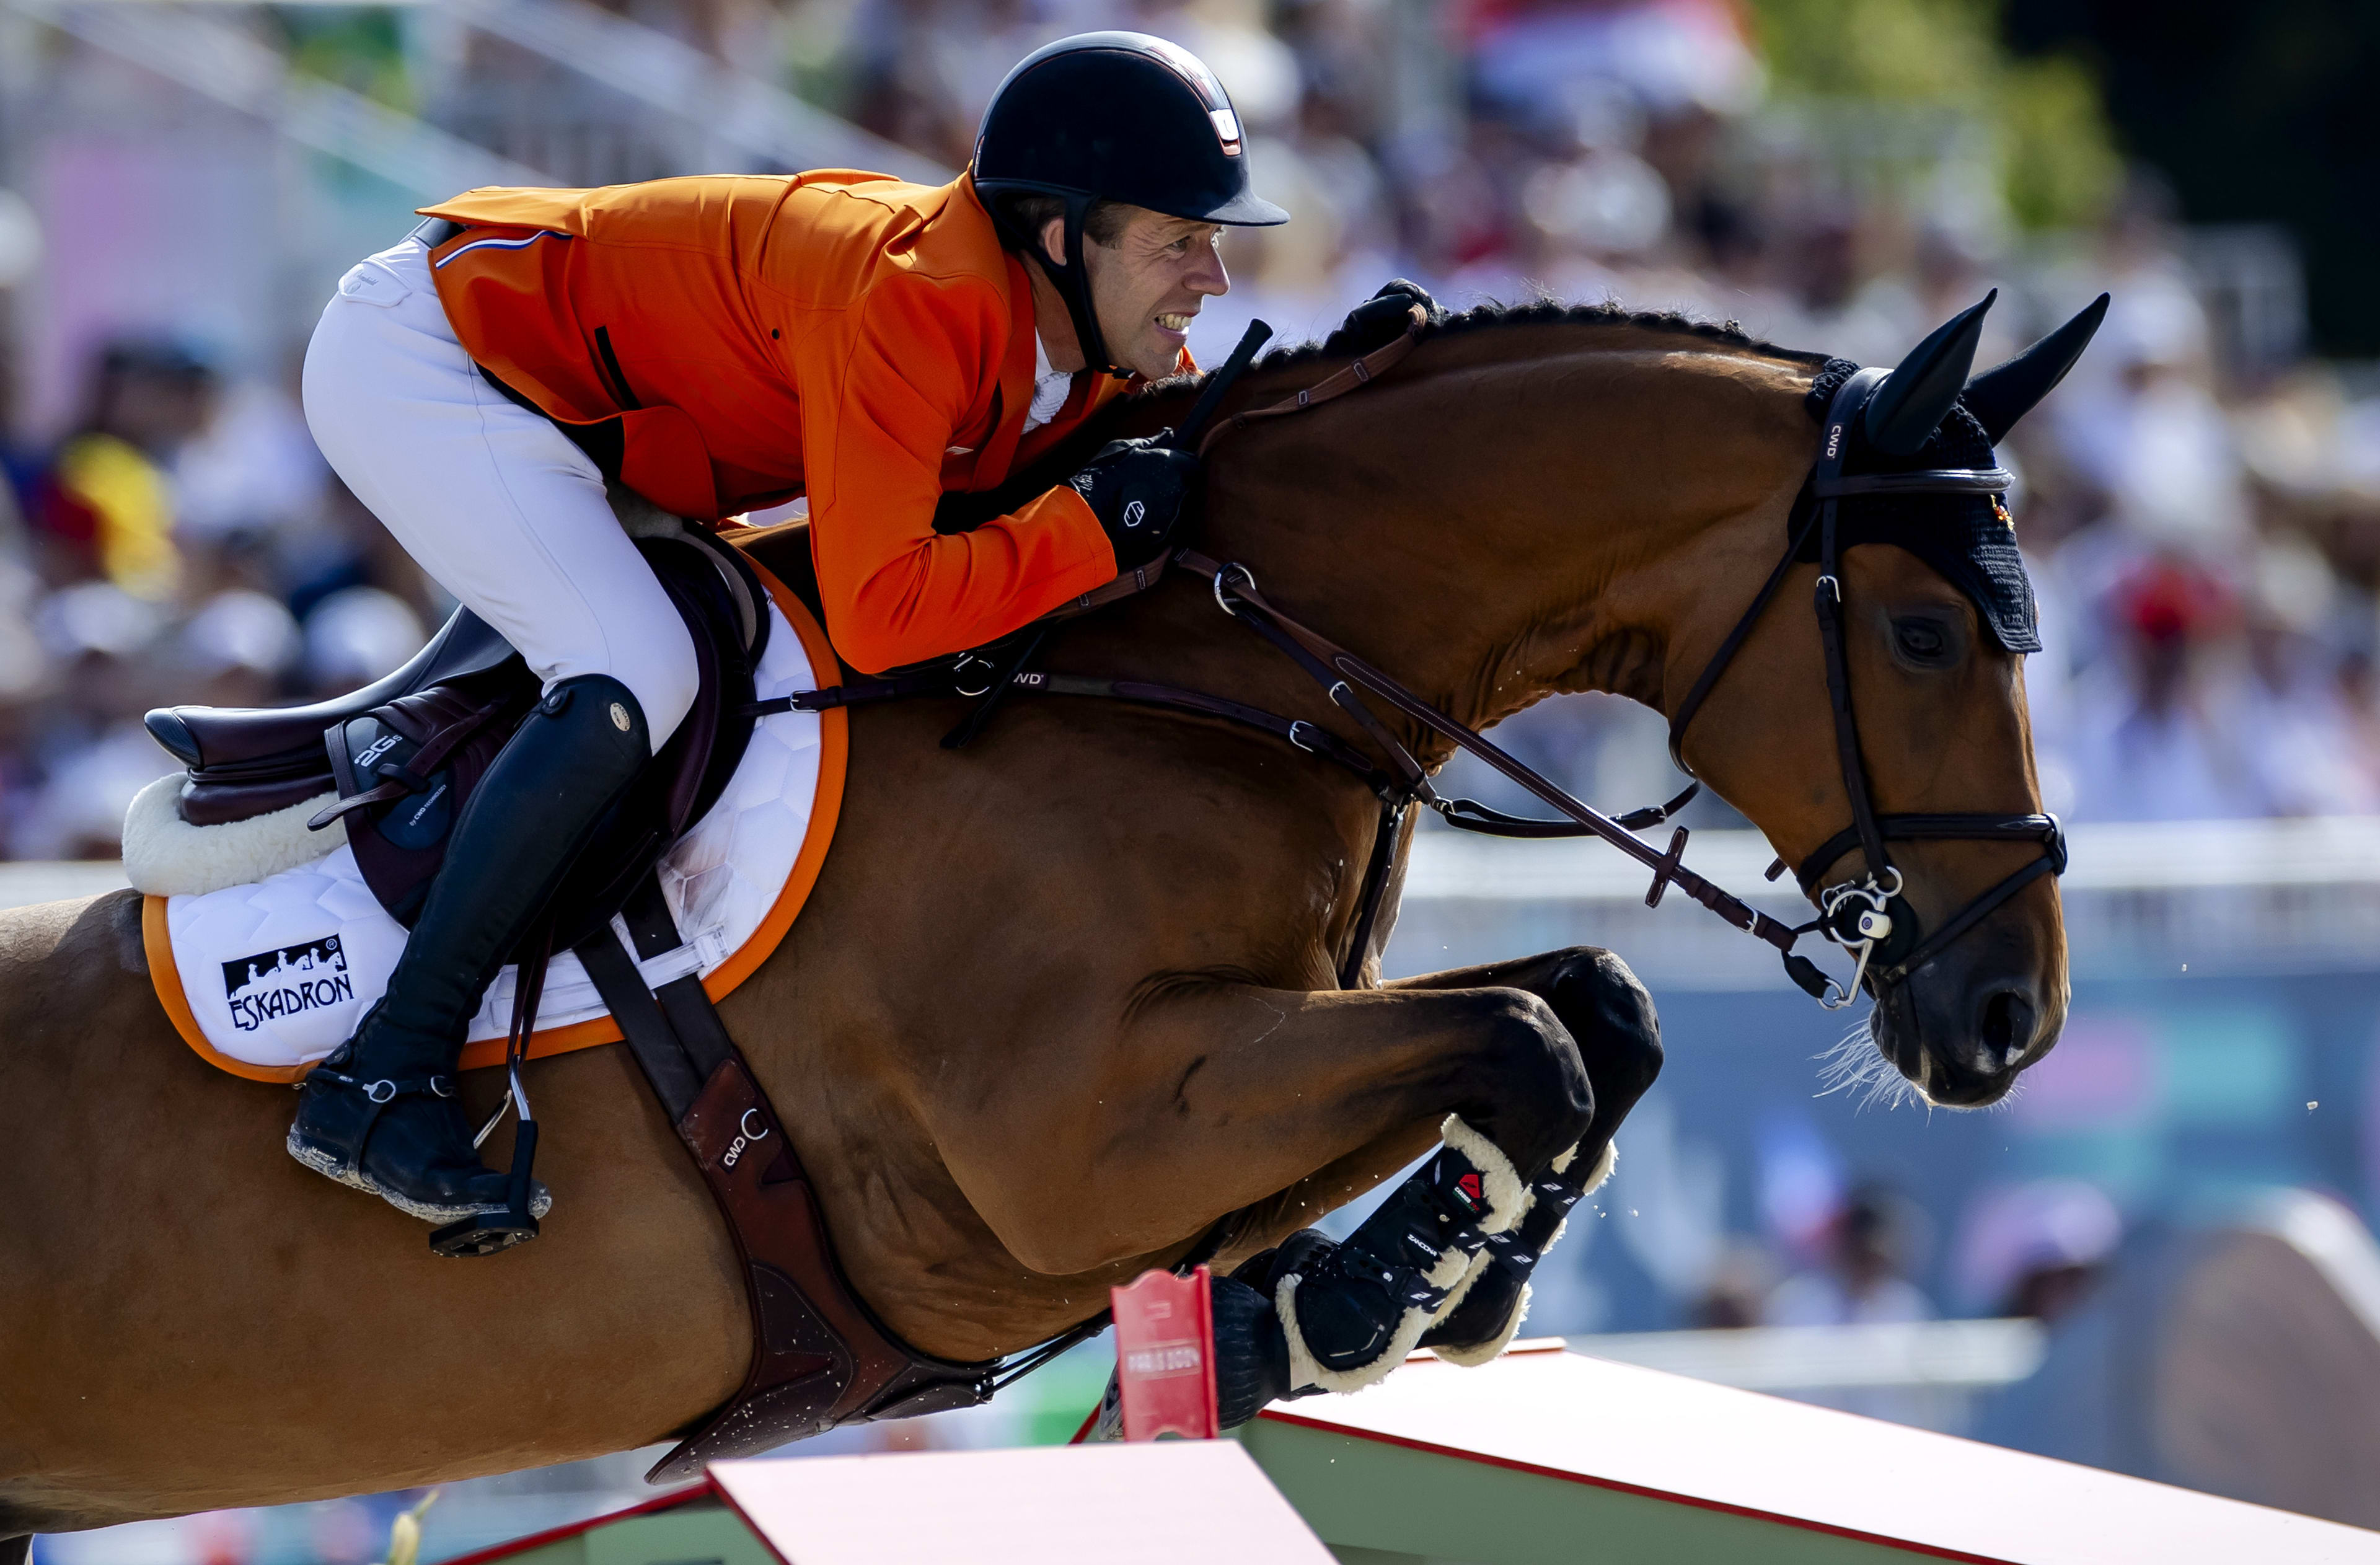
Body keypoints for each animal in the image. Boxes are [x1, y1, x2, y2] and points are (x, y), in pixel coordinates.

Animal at [0, 296, 2066, 1532]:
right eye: (1921, 631)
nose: (2009, 1017)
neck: (1180, 664)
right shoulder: (1075, 1146)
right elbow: (1531, 1031)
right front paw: (1367, 1299)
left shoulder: (1229, 1066)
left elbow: (1588, 1009)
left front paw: (1365, 1301)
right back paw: (393, 1132)